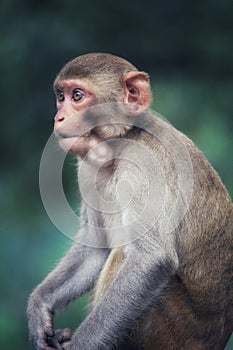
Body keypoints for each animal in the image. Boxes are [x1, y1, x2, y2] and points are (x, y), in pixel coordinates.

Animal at [27, 52, 233, 350]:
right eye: (61, 96)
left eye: (77, 96)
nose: (59, 117)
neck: (122, 140)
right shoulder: (87, 168)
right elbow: (96, 247)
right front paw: (39, 306)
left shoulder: (145, 163)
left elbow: (151, 259)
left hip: (172, 332)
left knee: (125, 253)